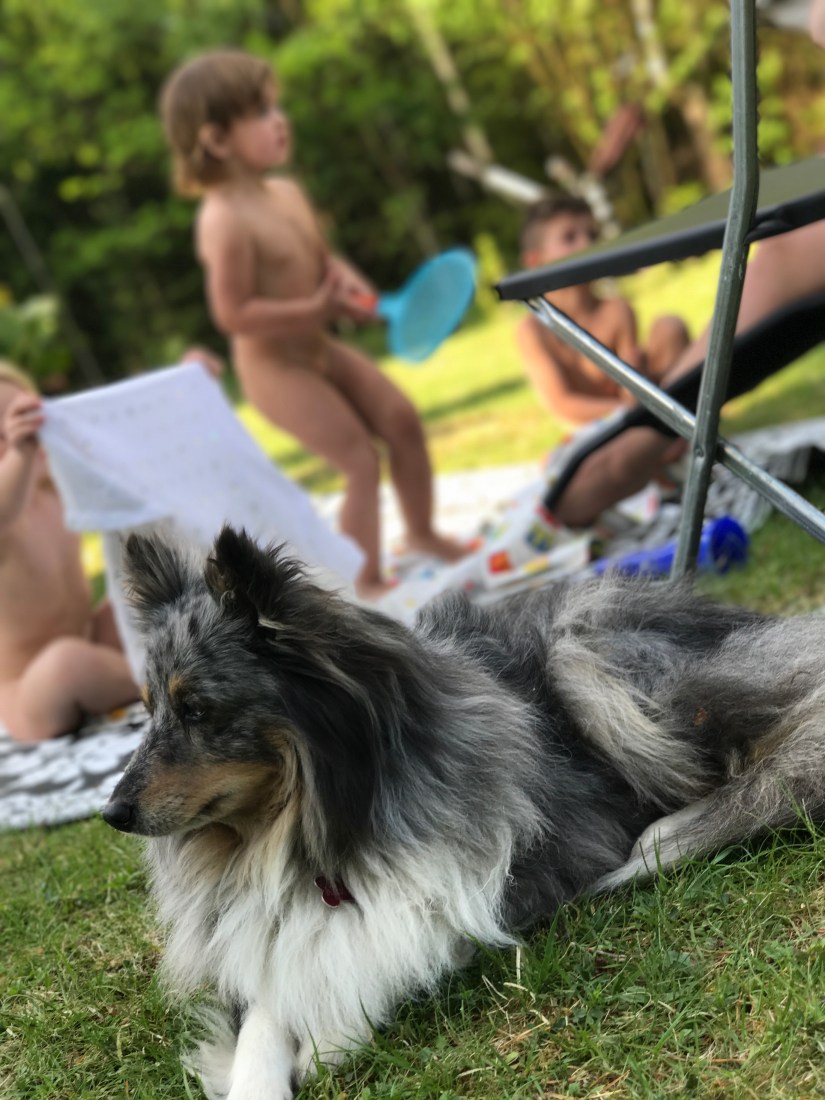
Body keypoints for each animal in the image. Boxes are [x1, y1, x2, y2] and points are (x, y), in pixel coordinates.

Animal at [103, 525, 825, 1100]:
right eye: (146, 709)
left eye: (196, 708)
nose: (112, 813)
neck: (316, 828)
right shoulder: (264, 933)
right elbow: (267, 1009)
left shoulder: (501, 876)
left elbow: (394, 946)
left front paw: (331, 1033)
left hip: (592, 654)